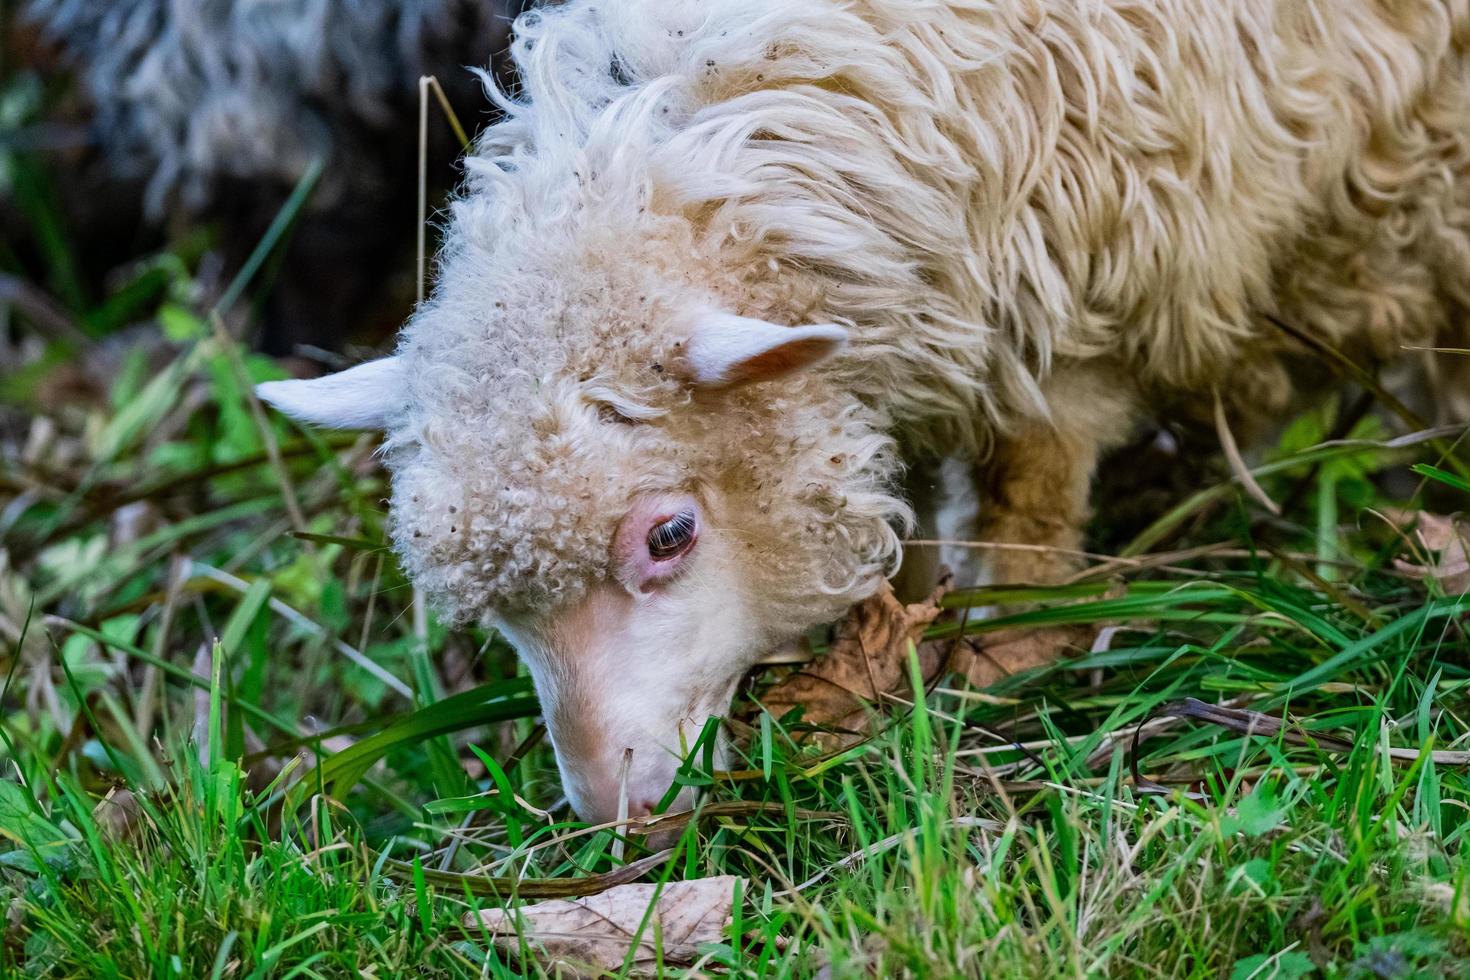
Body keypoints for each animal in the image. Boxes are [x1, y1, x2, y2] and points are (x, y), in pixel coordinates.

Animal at [258, 0, 1470, 828]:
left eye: (668, 535)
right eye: (497, 607)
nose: (615, 812)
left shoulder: (1064, 309)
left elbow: (1025, 506)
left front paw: (1004, 661)